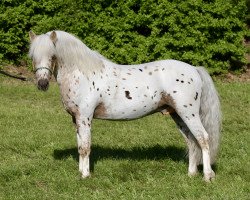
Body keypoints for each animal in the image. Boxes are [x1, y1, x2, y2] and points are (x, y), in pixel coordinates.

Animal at [28, 30, 222, 182]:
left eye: (52, 55)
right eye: (33, 57)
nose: (42, 84)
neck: (83, 74)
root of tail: (194, 69)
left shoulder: (85, 117)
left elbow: (85, 147)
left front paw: (85, 176)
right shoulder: (76, 119)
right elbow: (80, 147)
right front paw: (81, 173)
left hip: (188, 113)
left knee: (203, 138)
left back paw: (207, 176)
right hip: (178, 115)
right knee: (191, 141)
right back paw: (191, 174)